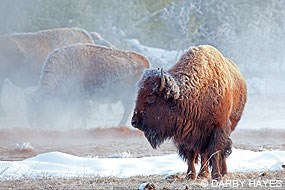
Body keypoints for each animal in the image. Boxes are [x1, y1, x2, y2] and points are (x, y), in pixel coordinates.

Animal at [131, 44, 246, 180]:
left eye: (151, 97)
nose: (134, 121)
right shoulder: (186, 133)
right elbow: (191, 154)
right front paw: (190, 175)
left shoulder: (219, 127)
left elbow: (215, 151)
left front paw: (216, 175)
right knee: (203, 153)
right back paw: (203, 174)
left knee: (219, 151)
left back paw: (221, 172)